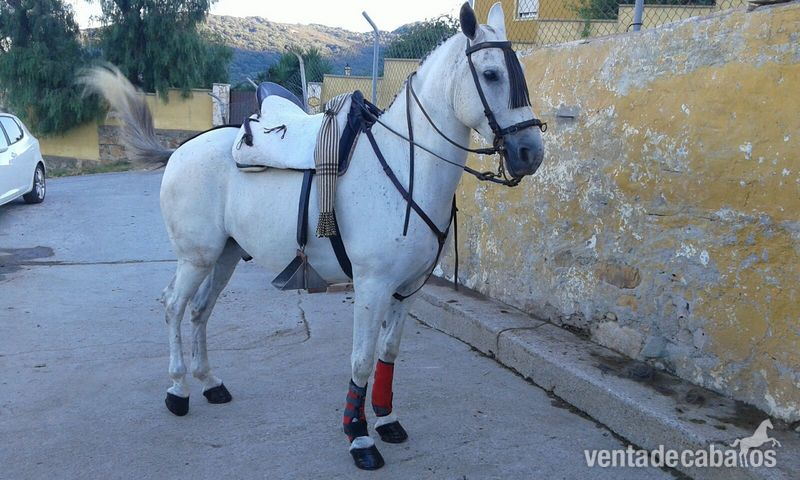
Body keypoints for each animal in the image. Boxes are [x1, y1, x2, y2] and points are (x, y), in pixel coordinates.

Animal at [83, 2, 545, 470]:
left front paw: (387, 420)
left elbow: (389, 353)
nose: (530, 152)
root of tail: (180, 149)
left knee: (199, 310)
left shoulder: (408, 288)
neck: (402, 164)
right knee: (174, 306)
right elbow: (362, 360)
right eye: (491, 74)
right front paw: (359, 437)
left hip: (225, 256)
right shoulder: (372, 286)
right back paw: (178, 390)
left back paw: (210, 382)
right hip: (197, 257)